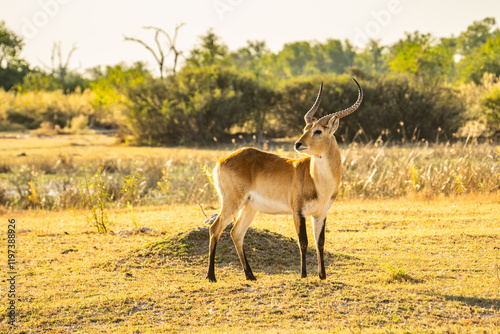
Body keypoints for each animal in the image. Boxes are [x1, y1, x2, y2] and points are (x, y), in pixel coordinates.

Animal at [207, 78, 364, 282]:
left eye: (318, 131)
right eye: (306, 129)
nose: (298, 144)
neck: (319, 182)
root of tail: (222, 160)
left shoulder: (321, 214)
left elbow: (319, 242)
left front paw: (322, 276)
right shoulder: (298, 212)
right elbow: (303, 242)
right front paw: (304, 275)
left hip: (249, 207)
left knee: (236, 233)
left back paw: (250, 275)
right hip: (232, 202)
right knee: (215, 229)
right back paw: (211, 276)